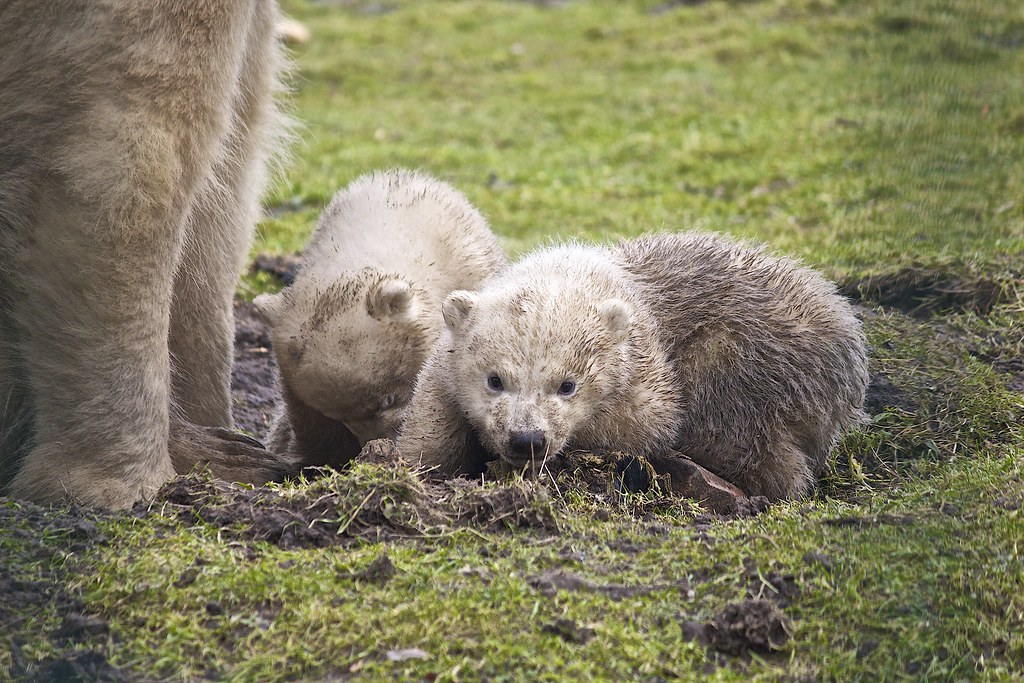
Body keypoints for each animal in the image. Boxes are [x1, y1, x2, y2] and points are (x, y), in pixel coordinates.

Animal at [398, 231, 869, 501]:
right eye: (494, 380)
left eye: (567, 385)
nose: (526, 440)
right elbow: (431, 422)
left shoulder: (646, 367)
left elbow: (648, 424)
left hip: (753, 359)